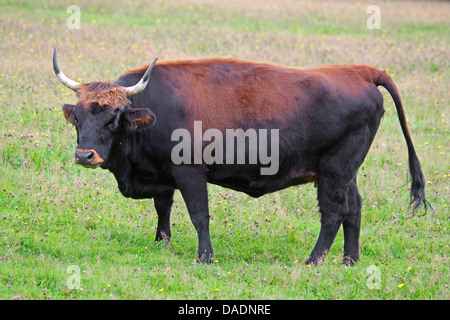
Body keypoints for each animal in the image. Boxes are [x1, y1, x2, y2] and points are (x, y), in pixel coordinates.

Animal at [52, 47, 428, 262]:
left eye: (113, 118)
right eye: (79, 117)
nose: (84, 155)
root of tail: (358, 71)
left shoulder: (190, 172)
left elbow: (199, 215)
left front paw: (205, 257)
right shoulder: (163, 176)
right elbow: (163, 209)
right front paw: (161, 244)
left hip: (334, 172)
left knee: (334, 213)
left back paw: (313, 261)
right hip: (344, 172)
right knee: (354, 210)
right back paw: (350, 260)